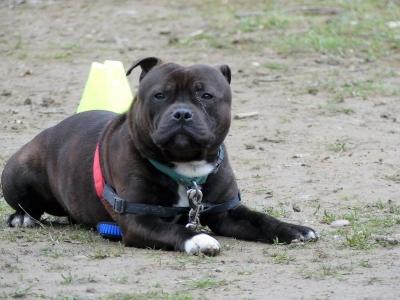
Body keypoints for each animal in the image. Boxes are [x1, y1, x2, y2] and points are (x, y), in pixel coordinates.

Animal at [0, 56, 318, 255]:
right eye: (160, 95)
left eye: (206, 95)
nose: (182, 113)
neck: (186, 167)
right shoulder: (138, 220)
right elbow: (175, 231)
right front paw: (199, 239)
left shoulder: (227, 212)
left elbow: (262, 220)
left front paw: (294, 229)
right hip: (18, 171)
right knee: (27, 204)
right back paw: (22, 218)